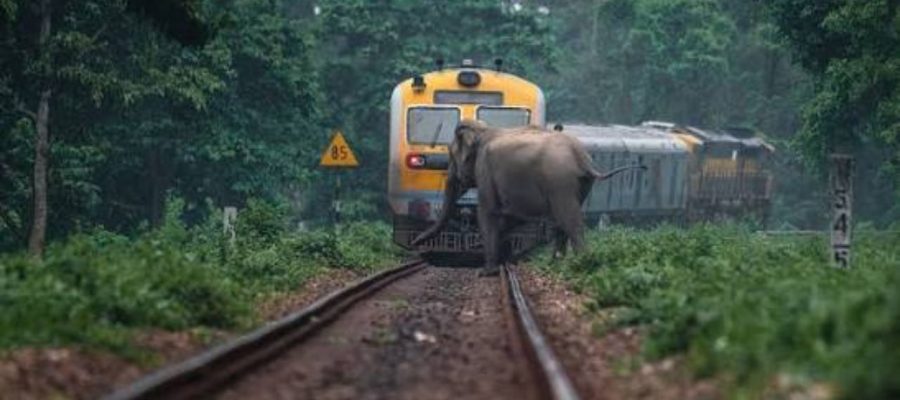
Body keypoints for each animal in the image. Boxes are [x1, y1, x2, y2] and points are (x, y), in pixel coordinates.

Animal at [412, 120, 645, 276]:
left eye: (451, 156)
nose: (415, 244)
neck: (484, 129)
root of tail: (582, 158)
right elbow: (509, 218)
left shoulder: (485, 170)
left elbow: (488, 212)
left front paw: (486, 272)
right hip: (579, 185)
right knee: (563, 222)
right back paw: (555, 265)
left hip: (559, 180)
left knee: (570, 221)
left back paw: (583, 265)